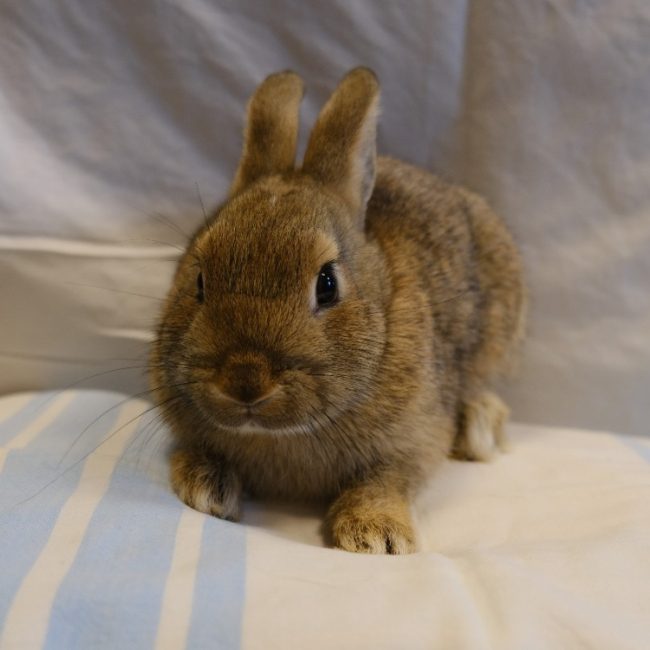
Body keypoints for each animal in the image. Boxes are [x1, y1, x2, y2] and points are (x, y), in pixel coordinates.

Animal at [150, 67, 526, 554]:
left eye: (327, 285)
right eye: (198, 279)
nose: (245, 381)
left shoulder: (414, 439)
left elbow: (386, 480)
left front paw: (377, 535)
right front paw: (204, 489)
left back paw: (479, 429)